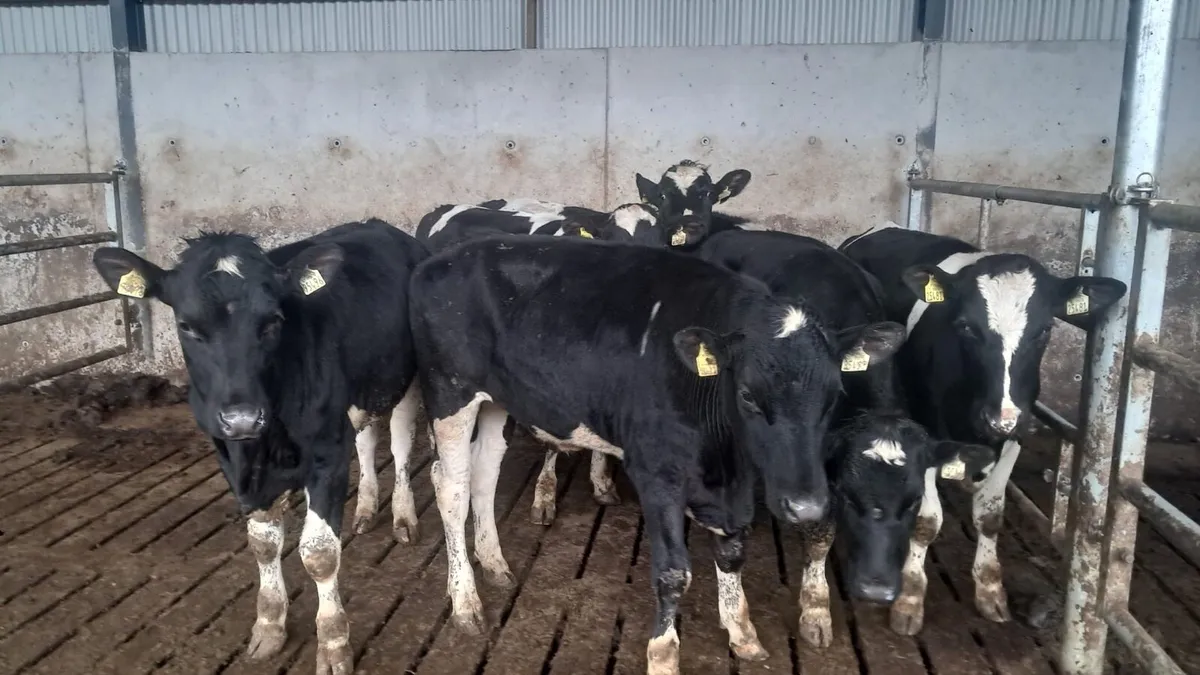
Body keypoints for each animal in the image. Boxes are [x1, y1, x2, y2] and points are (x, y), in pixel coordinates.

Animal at [90, 219, 428, 675]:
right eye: (187, 326)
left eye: (273, 322)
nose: (242, 418)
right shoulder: (232, 459)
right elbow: (263, 543)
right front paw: (269, 625)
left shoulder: (327, 454)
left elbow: (320, 554)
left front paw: (334, 644)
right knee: (366, 438)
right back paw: (366, 508)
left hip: (407, 379)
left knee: (402, 444)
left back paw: (403, 517)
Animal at [408, 234, 905, 675]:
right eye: (747, 395)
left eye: (834, 396)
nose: (806, 507)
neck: (723, 455)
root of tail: (440, 258)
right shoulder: (657, 472)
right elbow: (672, 573)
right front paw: (663, 656)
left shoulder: (733, 485)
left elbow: (733, 550)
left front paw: (742, 632)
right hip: (448, 391)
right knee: (450, 488)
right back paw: (466, 601)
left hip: (497, 399)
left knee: (485, 475)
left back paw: (495, 564)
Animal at [838, 224, 1127, 625]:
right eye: (965, 327)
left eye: (1044, 330)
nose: (998, 417)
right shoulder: (925, 431)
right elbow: (927, 521)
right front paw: (910, 598)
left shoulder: (1016, 431)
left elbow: (990, 515)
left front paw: (990, 587)